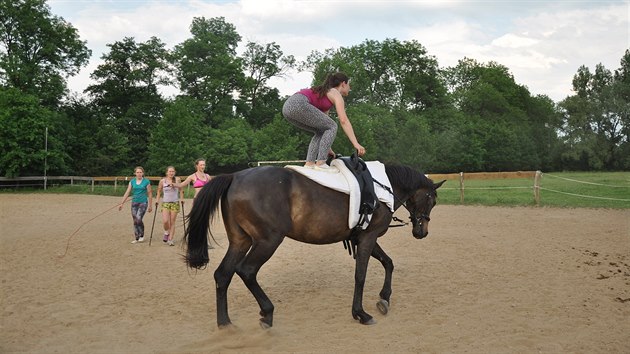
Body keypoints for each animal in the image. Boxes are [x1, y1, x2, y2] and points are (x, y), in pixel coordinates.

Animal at [185, 163, 446, 330]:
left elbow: (388, 263)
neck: (383, 188)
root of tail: (235, 177)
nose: (422, 231)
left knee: (223, 275)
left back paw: (225, 323)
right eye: (431, 200)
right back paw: (267, 312)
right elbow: (361, 275)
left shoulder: (365, 238)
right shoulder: (368, 238)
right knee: (246, 271)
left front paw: (384, 298)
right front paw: (360, 313)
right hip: (268, 241)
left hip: (241, 241)